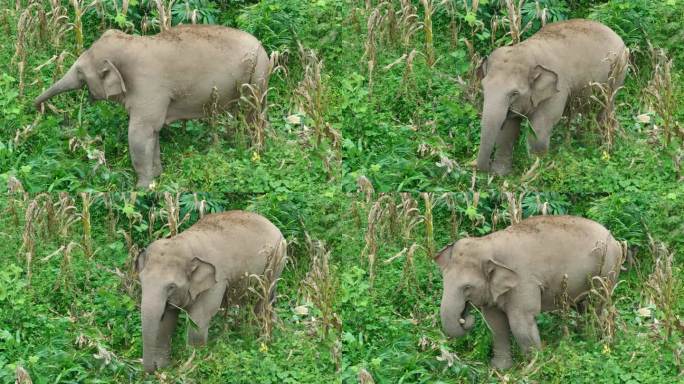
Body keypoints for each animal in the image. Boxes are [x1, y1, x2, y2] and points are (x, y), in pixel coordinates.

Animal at [34, 25, 270, 188]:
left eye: (80, 73)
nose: (37, 108)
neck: (131, 42)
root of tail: (263, 48)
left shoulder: (148, 86)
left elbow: (140, 133)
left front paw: (142, 189)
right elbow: (153, 133)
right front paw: (157, 176)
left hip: (256, 76)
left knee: (252, 114)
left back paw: (253, 151)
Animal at [135, 210, 288, 372]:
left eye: (171, 286)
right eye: (142, 281)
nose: (153, 369)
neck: (183, 243)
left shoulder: (216, 281)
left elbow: (199, 318)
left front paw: (191, 365)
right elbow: (168, 320)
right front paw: (165, 367)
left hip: (275, 261)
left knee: (263, 300)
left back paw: (263, 339)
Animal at [436, 216, 624, 368]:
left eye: (467, 287)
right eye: (443, 280)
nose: (465, 318)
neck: (488, 243)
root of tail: (616, 241)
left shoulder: (523, 281)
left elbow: (521, 323)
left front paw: (533, 368)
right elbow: (496, 324)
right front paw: (500, 369)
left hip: (607, 270)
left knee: (597, 305)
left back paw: (598, 341)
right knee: (584, 306)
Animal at [472, 18, 628, 174]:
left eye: (514, 93)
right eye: (483, 87)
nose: (484, 167)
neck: (525, 50)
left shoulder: (558, 89)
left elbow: (540, 126)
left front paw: (535, 169)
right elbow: (508, 129)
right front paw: (500, 174)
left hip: (616, 73)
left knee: (604, 109)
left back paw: (605, 147)